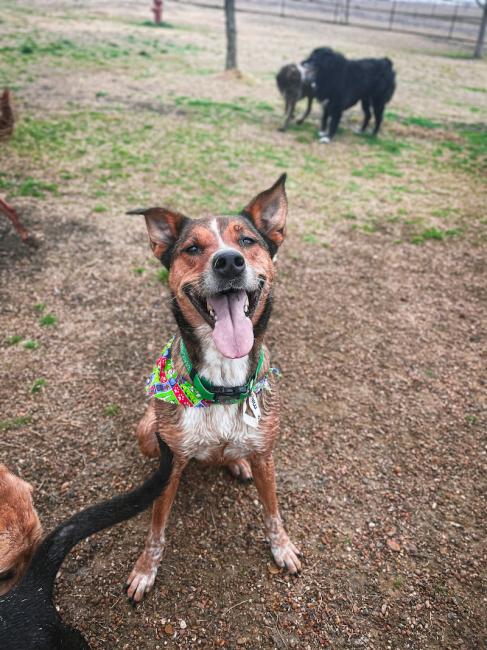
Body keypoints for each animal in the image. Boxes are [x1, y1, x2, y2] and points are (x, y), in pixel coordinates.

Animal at [126, 173, 302, 604]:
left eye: (248, 241)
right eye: (192, 248)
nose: (228, 261)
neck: (223, 383)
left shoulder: (266, 453)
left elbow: (273, 512)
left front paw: (283, 548)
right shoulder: (169, 461)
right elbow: (156, 530)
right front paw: (145, 570)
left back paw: (237, 463)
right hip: (147, 431)